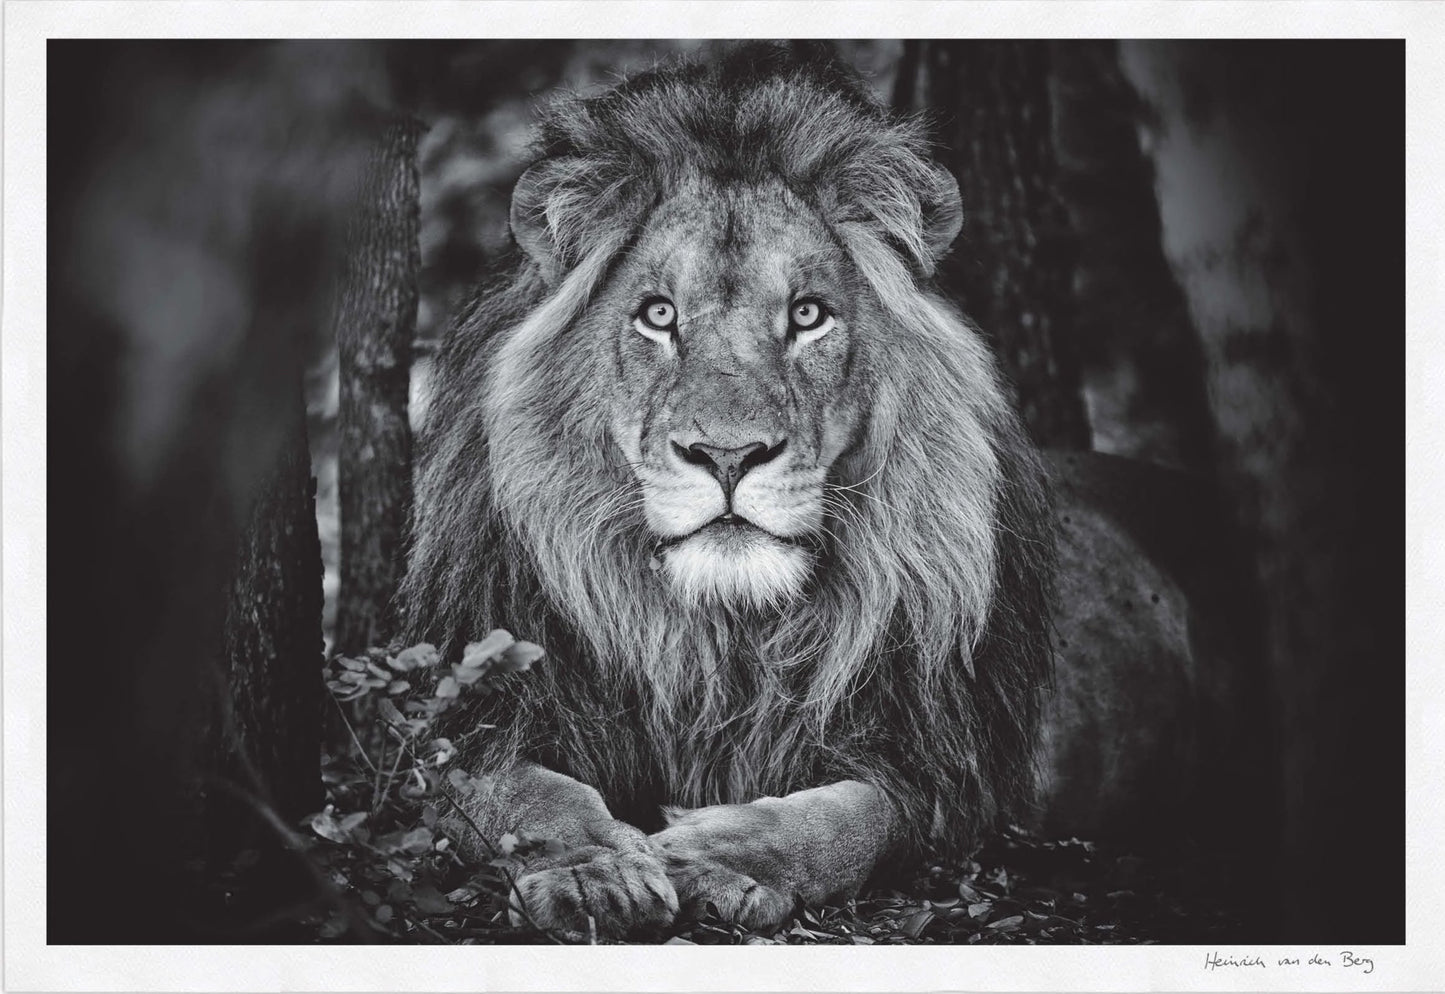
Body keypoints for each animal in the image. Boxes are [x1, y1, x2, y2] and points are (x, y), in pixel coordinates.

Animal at [400, 44, 1060, 935]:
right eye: (657, 315)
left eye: (808, 316)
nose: (726, 454)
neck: (719, 646)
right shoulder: (472, 721)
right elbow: (527, 797)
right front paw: (591, 872)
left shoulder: (936, 773)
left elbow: (852, 818)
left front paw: (722, 855)